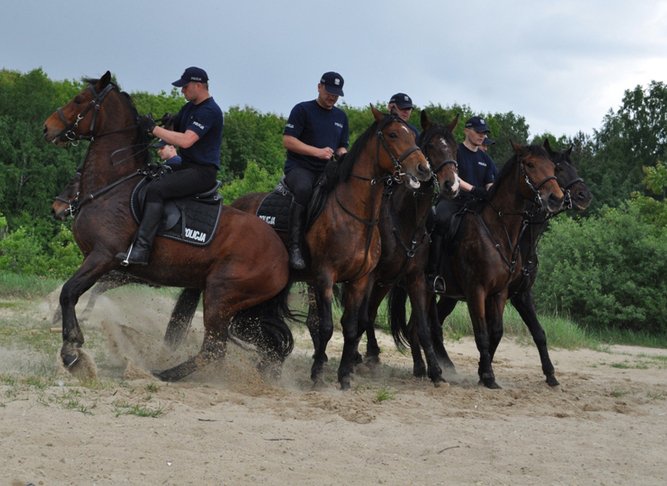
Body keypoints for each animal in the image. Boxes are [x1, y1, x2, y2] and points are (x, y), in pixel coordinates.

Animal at [42, 72, 292, 382]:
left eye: (79, 100)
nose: (47, 127)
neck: (112, 187)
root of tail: (282, 255)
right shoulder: (105, 265)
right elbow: (77, 293)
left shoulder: (102, 256)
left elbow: (69, 292)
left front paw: (72, 351)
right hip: (241, 307)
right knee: (264, 344)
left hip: (220, 296)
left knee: (214, 350)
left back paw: (162, 374)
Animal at [234, 105, 434, 388]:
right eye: (393, 134)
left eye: (414, 136)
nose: (423, 169)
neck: (354, 215)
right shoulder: (325, 276)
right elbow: (326, 326)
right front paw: (318, 374)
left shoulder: (360, 280)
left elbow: (350, 327)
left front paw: (344, 377)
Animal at [388, 140, 568, 388]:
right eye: (530, 165)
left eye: (553, 167)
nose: (556, 198)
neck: (498, 230)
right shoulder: (477, 291)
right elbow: (481, 334)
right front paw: (488, 376)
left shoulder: (501, 293)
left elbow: (498, 332)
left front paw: (484, 371)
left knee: (416, 328)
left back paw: (424, 368)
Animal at [426, 139, 592, 386]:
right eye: (559, 168)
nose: (583, 196)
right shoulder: (481, 290)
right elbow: (484, 333)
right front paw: (486, 374)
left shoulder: (514, 293)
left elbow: (525, 332)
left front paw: (549, 374)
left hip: (450, 296)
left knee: (434, 321)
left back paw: (445, 364)